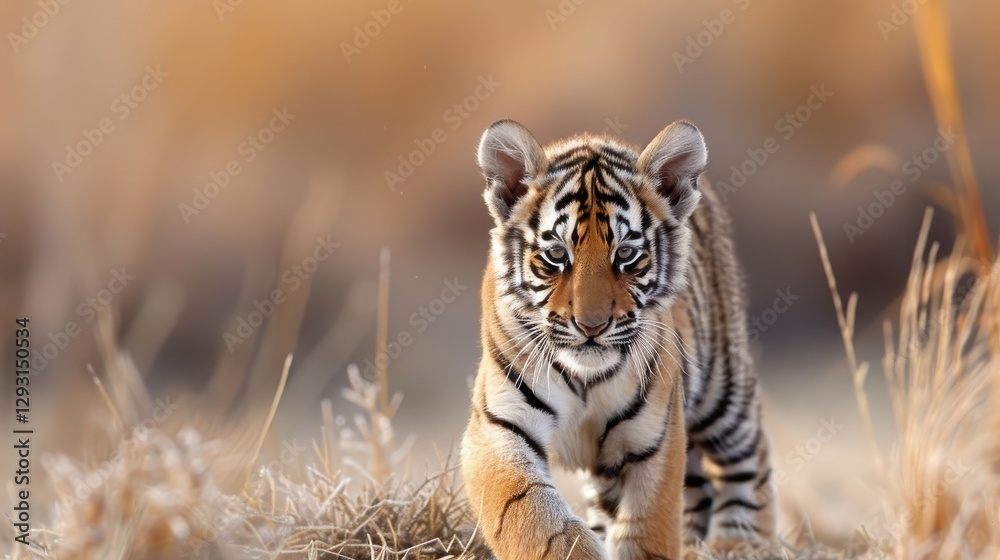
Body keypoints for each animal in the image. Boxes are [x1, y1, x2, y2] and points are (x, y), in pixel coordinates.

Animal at [460, 119, 776, 559]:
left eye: (626, 255)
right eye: (556, 255)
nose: (591, 326)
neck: (585, 379)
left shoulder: (654, 438)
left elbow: (647, 528)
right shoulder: (499, 426)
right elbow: (530, 512)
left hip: (722, 388)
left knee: (748, 456)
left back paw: (740, 543)